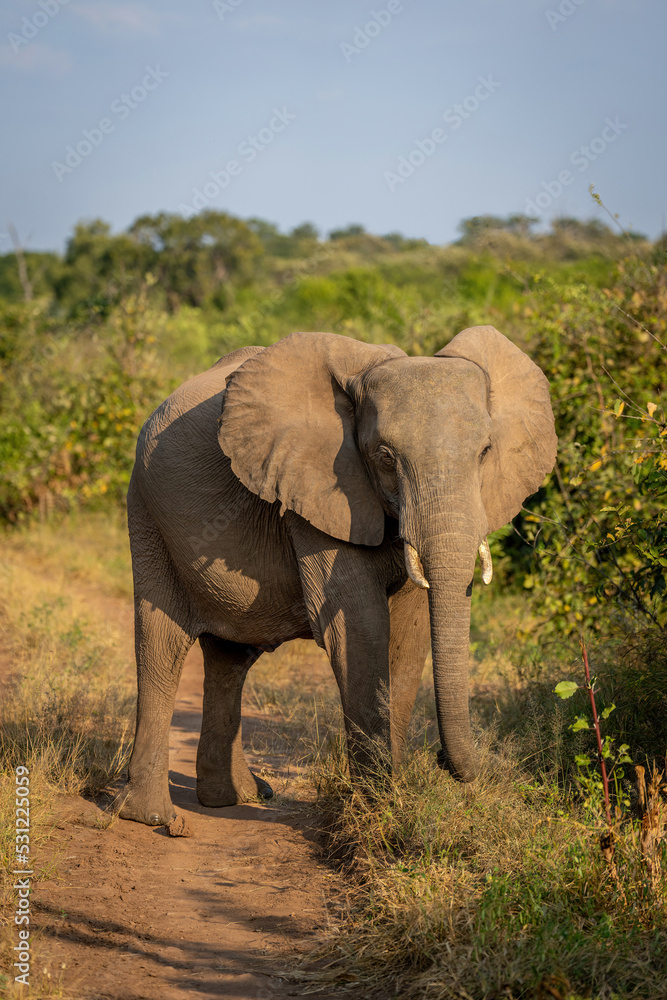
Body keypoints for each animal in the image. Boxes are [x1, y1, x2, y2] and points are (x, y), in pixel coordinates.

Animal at [116, 328, 560, 828]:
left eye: (485, 453)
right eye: (384, 457)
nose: (443, 760)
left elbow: (408, 634)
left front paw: (393, 799)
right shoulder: (318, 489)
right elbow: (360, 628)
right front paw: (379, 809)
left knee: (230, 658)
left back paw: (238, 797)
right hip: (147, 512)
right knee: (161, 645)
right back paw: (155, 818)